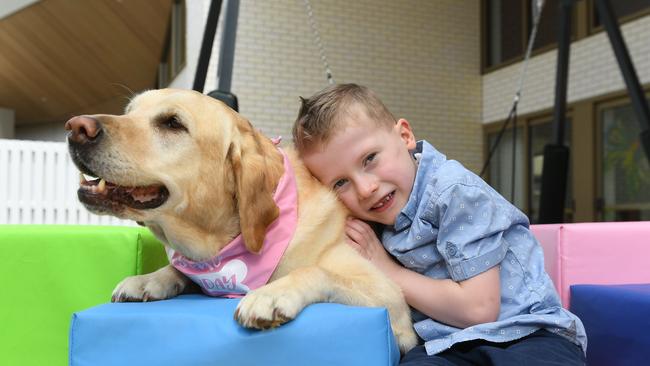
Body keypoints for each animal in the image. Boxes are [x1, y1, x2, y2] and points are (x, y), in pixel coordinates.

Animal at [66, 88, 416, 352]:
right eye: (128, 111)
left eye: (172, 123)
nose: (76, 128)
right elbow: (179, 271)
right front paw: (148, 279)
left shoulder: (393, 303)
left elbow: (315, 270)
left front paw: (270, 295)